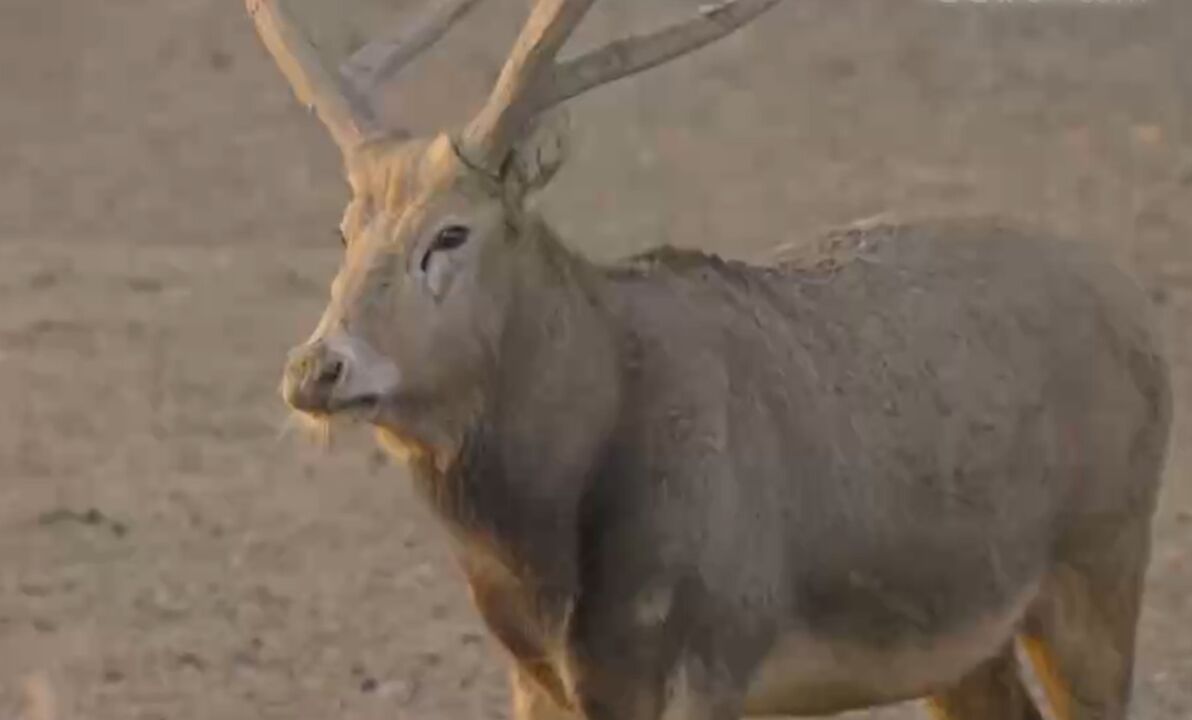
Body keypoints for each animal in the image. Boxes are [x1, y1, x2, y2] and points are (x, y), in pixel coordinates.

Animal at [244, 2, 1172, 715]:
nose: (316, 369)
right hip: (965, 644)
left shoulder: (711, 652)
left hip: (1102, 559)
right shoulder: (539, 680)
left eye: (451, 233)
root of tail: (1135, 302)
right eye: (344, 230)